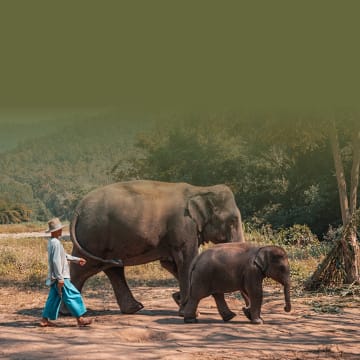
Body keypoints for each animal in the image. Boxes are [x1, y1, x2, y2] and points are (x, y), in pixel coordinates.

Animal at [69, 180, 245, 316]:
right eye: (232, 221)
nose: (245, 310)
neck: (200, 189)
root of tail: (78, 209)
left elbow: (171, 264)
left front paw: (179, 300)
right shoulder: (184, 226)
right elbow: (187, 260)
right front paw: (188, 311)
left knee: (113, 269)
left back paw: (134, 309)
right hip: (94, 236)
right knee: (83, 267)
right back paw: (69, 312)